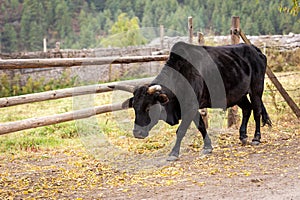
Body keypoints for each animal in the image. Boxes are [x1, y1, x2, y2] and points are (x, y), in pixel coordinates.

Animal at [110, 42, 272, 161]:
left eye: (149, 107)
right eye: (134, 107)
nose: (137, 133)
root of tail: (255, 49)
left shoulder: (191, 107)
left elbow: (181, 131)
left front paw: (173, 153)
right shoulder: (192, 109)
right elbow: (201, 126)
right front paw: (208, 147)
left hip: (256, 89)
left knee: (257, 111)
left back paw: (256, 138)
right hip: (238, 95)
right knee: (247, 109)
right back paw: (243, 135)